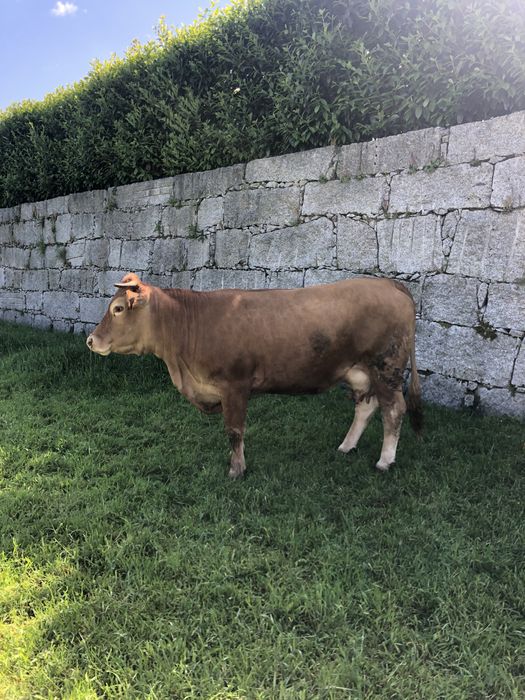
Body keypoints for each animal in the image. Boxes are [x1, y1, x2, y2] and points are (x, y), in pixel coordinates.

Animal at [86, 273, 422, 478]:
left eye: (118, 309)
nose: (91, 340)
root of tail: (389, 284)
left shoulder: (235, 386)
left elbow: (235, 431)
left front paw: (237, 469)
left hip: (386, 368)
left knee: (394, 409)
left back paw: (384, 461)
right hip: (360, 372)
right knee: (366, 406)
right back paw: (346, 446)